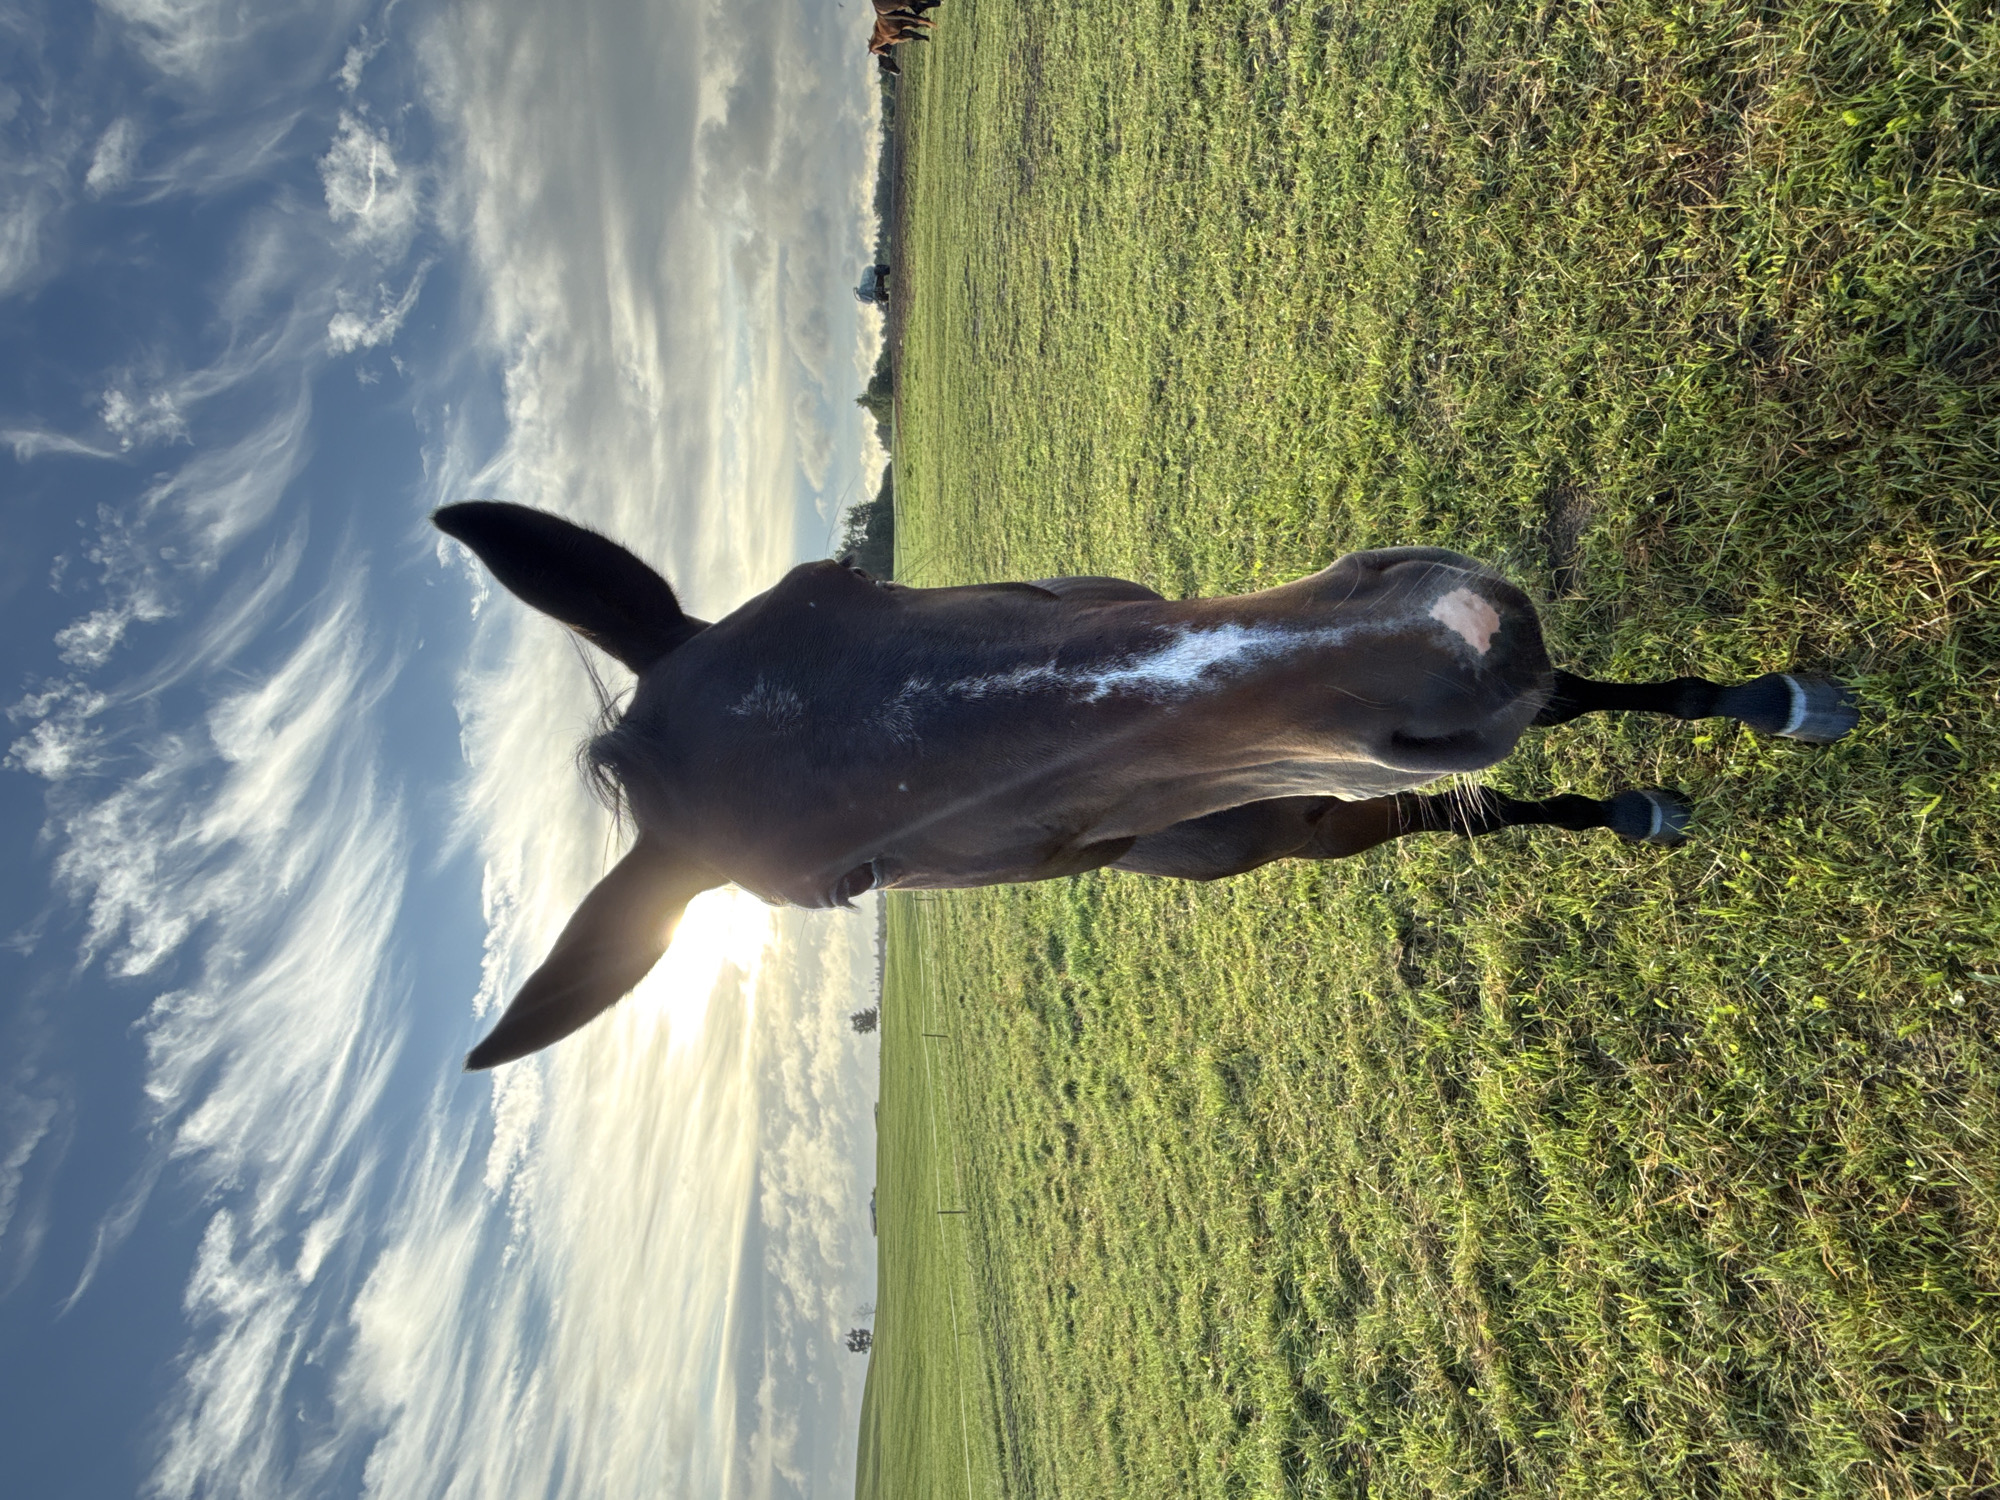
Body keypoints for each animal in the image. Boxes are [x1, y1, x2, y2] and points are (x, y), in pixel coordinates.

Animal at [433, 502, 1857, 1070]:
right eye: (854, 881)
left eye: (830, 583)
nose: (1433, 643)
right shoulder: (1303, 818)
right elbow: (1466, 812)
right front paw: (1619, 806)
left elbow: (1584, 697)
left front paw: (1764, 704)